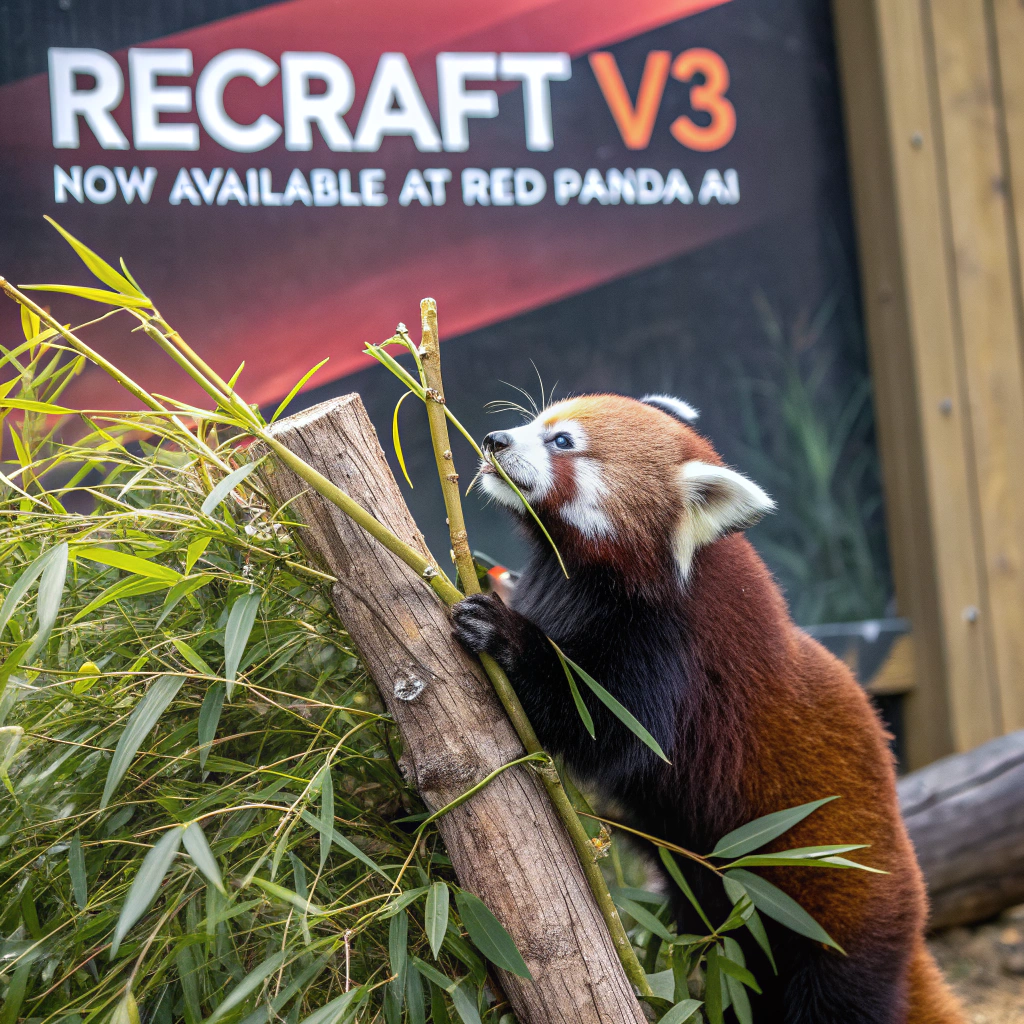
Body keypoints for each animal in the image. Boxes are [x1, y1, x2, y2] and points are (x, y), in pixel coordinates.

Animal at [452, 393, 964, 1024]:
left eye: (563, 442)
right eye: (535, 422)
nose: (495, 439)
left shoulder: (670, 651)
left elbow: (607, 727)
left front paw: (504, 635)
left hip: (832, 918)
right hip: (728, 920)